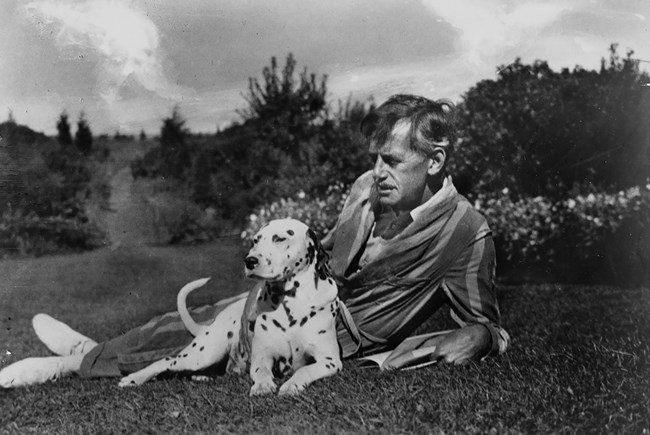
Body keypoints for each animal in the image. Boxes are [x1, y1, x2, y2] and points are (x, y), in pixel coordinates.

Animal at [117, 220, 342, 396]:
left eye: (280, 238)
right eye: (255, 240)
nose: (249, 260)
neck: (291, 303)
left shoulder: (330, 361)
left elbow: (304, 370)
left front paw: (291, 385)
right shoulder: (262, 357)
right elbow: (262, 372)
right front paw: (262, 386)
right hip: (202, 355)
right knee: (165, 360)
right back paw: (133, 378)